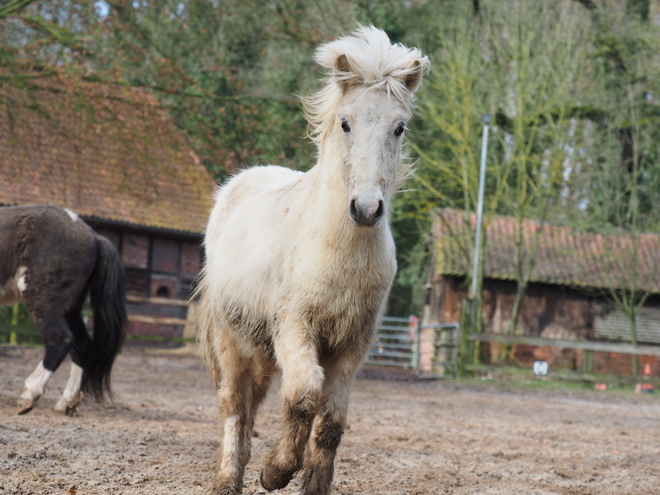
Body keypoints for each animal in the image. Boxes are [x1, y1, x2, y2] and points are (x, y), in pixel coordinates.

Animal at [0, 204, 127, 414]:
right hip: (70, 309)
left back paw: (29, 395)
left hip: (43, 301)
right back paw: (67, 402)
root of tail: (93, 236)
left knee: (60, 340)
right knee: (82, 345)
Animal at [196, 27, 428, 495]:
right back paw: (229, 478)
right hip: (232, 340)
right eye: (345, 122)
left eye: (399, 127)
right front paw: (276, 472)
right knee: (234, 405)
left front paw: (312, 481)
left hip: (261, 348)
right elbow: (304, 396)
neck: (339, 252)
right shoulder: (295, 328)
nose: (367, 209)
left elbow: (332, 421)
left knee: (252, 405)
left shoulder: (354, 343)